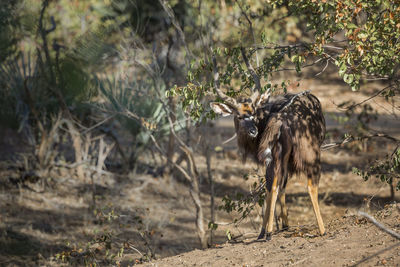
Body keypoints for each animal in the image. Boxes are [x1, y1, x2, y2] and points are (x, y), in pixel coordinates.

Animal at [209, 88, 324, 241]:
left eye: (253, 114)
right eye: (239, 116)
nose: (253, 131)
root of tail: (281, 119)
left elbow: (275, 187)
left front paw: (279, 226)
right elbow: (280, 186)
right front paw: (282, 225)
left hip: (280, 158)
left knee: (273, 186)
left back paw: (264, 232)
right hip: (308, 157)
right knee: (309, 186)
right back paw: (321, 230)